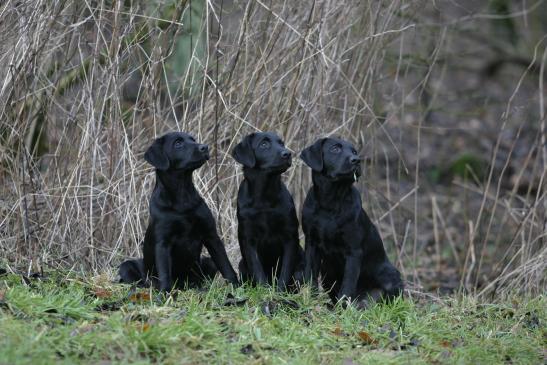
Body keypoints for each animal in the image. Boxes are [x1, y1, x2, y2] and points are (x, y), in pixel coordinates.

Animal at [119, 131, 239, 290]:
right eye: (178, 143)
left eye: (193, 139)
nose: (204, 147)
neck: (182, 197)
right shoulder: (162, 243)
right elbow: (164, 273)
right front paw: (165, 292)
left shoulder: (211, 235)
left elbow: (226, 265)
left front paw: (237, 285)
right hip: (126, 267)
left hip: (206, 263)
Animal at [231, 132, 304, 290]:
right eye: (264, 144)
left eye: (281, 143)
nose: (287, 153)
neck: (264, 198)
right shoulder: (248, 239)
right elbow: (257, 270)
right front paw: (264, 290)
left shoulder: (290, 237)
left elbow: (285, 271)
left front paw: (280, 292)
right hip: (242, 265)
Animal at [300, 136, 402, 304]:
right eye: (335, 149)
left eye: (354, 151)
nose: (357, 160)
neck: (331, 203)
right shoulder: (311, 243)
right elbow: (310, 276)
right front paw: (311, 301)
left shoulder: (353, 252)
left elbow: (347, 285)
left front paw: (343, 308)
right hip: (327, 273)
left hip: (390, 275)